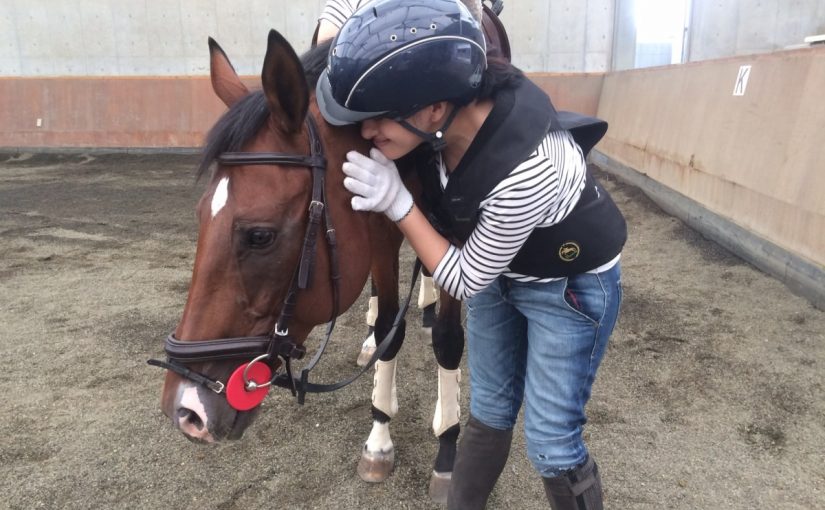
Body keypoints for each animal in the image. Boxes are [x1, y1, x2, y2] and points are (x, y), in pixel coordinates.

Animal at [151, 30, 466, 503]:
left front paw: (448, 451)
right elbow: (390, 330)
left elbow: (449, 340)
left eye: (259, 236)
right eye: (201, 216)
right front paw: (379, 439)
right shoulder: (376, 230)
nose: (185, 411)